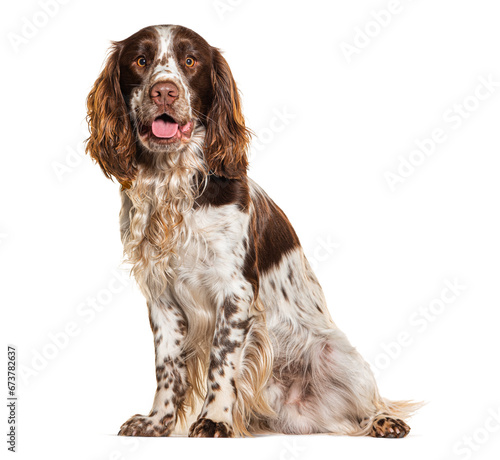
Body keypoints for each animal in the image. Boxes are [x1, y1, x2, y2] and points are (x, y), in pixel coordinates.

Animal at [86, 24, 419, 437]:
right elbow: (168, 367)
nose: (164, 91)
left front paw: (214, 419)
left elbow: (222, 360)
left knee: (366, 404)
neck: (174, 183)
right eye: (141, 60)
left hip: (341, 356)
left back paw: (383, 421)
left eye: (190, 61)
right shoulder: (161, 296)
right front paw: (157, 421)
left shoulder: (236, 289)